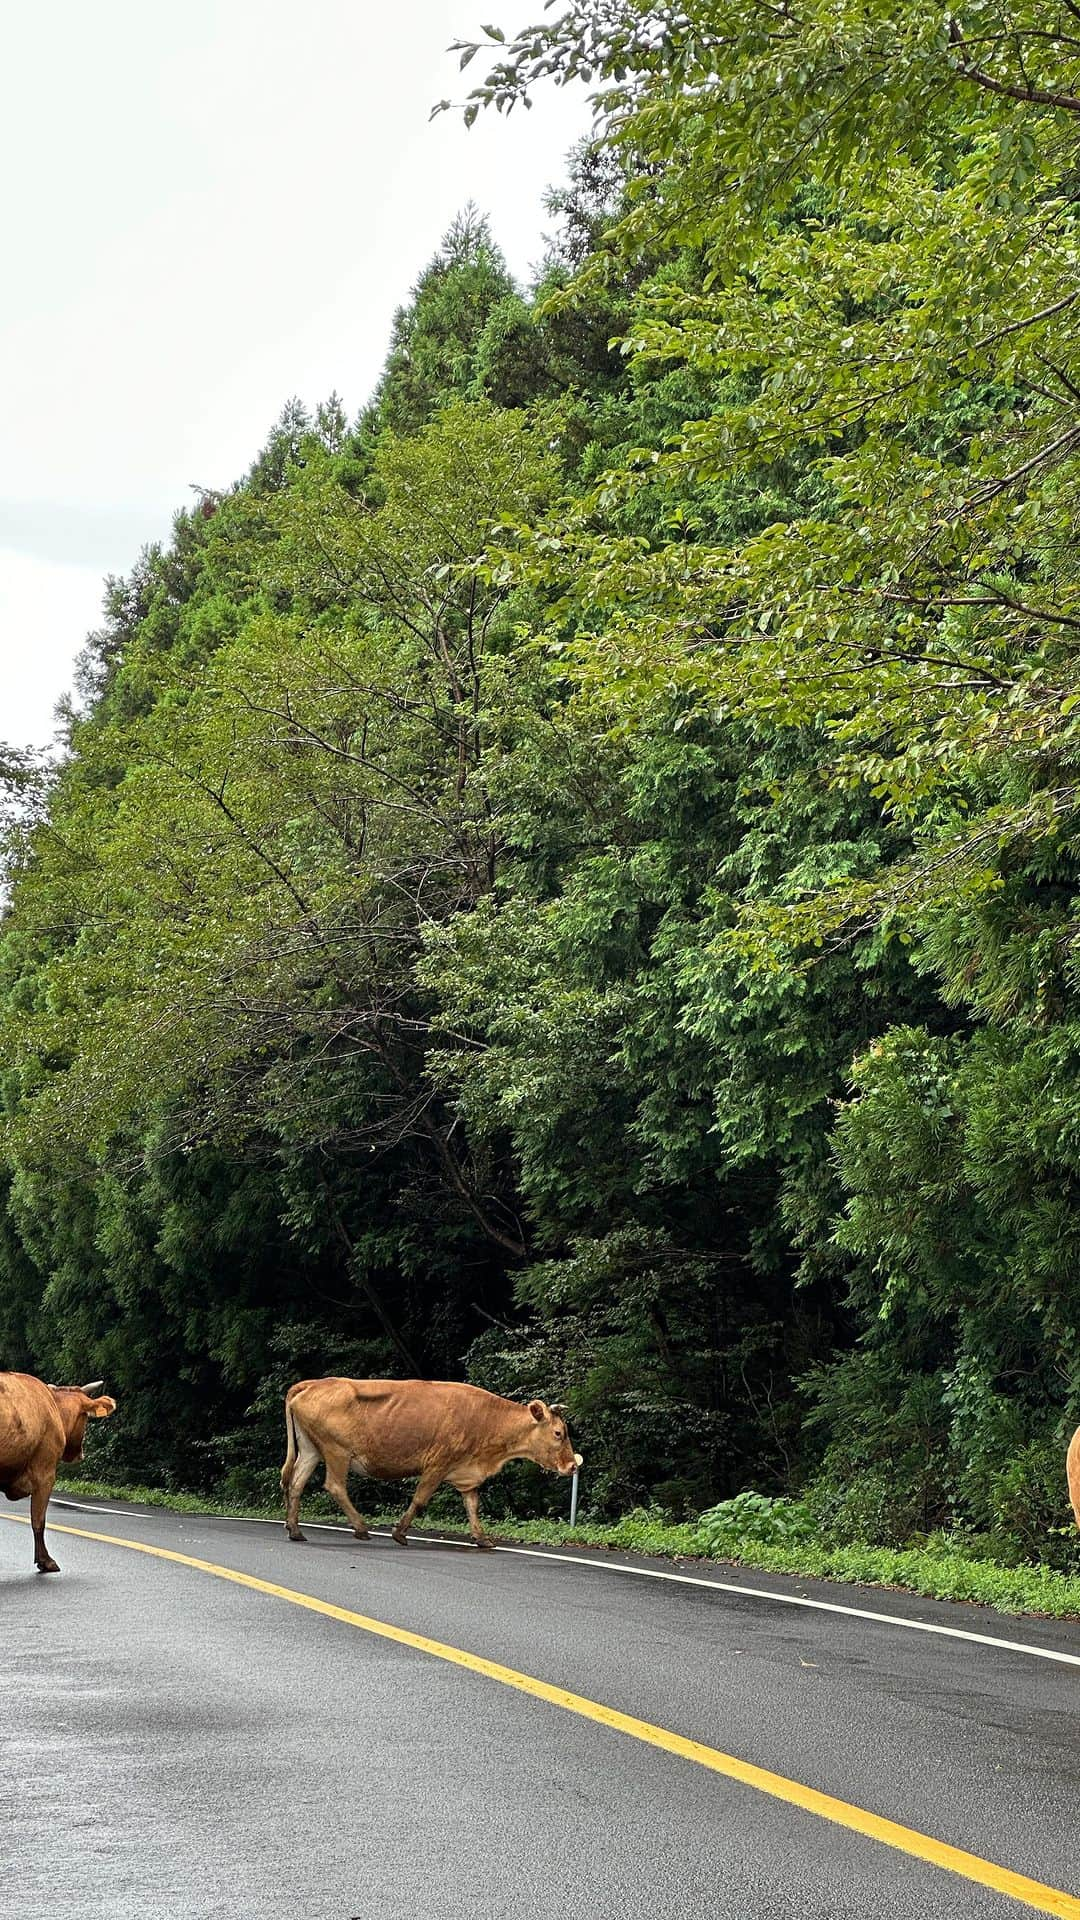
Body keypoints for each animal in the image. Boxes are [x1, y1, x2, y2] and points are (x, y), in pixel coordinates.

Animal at [276, 1382, 580, 1543]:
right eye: (558, 1433)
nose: (573, 1466)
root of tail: (313, 1383)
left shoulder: (467, 1474)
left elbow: (473, 1506)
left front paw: (482, 1539)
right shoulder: (438, 1463)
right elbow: (421, 1499)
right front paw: (399, 1533)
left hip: (311, 1449)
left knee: (296, 1483)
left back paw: (295, 1530)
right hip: (336, 1450)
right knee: (335, 1486)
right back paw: (361, 1528)